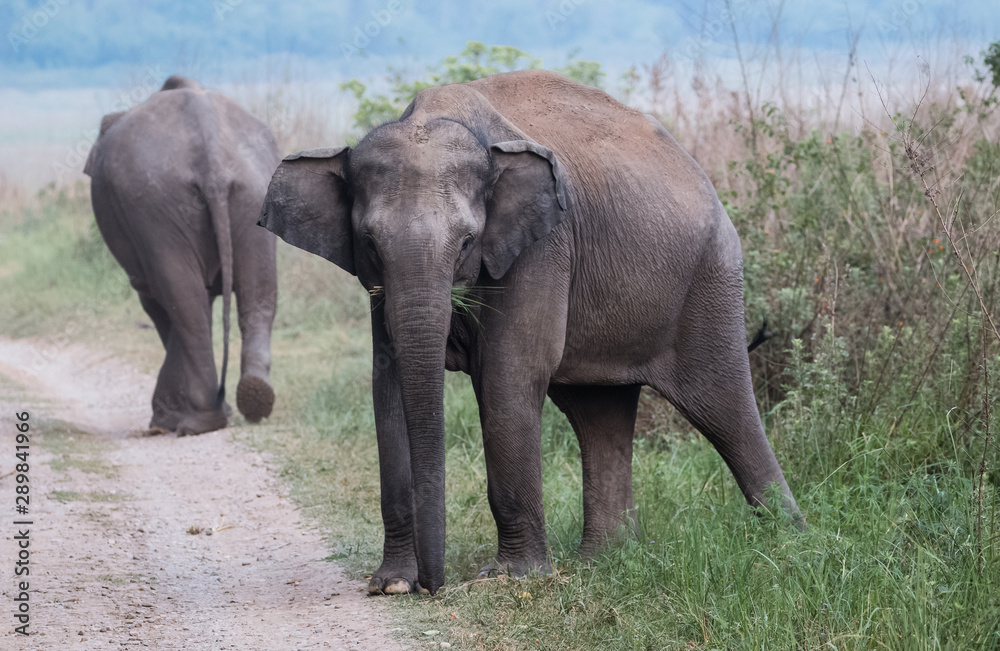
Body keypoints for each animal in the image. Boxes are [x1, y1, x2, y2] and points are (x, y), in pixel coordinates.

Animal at [85, 74, 280, 436]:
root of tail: (213, 157)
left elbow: (156, 302)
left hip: (153, 202)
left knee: (181, 298)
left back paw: (190, 422)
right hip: (251, 189)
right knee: (254, 295)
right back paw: (253, 399)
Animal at [260, 69, 804, 592]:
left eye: (468, 242)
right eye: (369, 243)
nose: (435, 587)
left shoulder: (543, 246)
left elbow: (508, 376)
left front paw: (513, 579)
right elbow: (387, 385)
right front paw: (391, 584)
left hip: (710, 280)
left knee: (722, 404)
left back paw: (791, 544)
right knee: (600, 412)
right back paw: (603, 560)